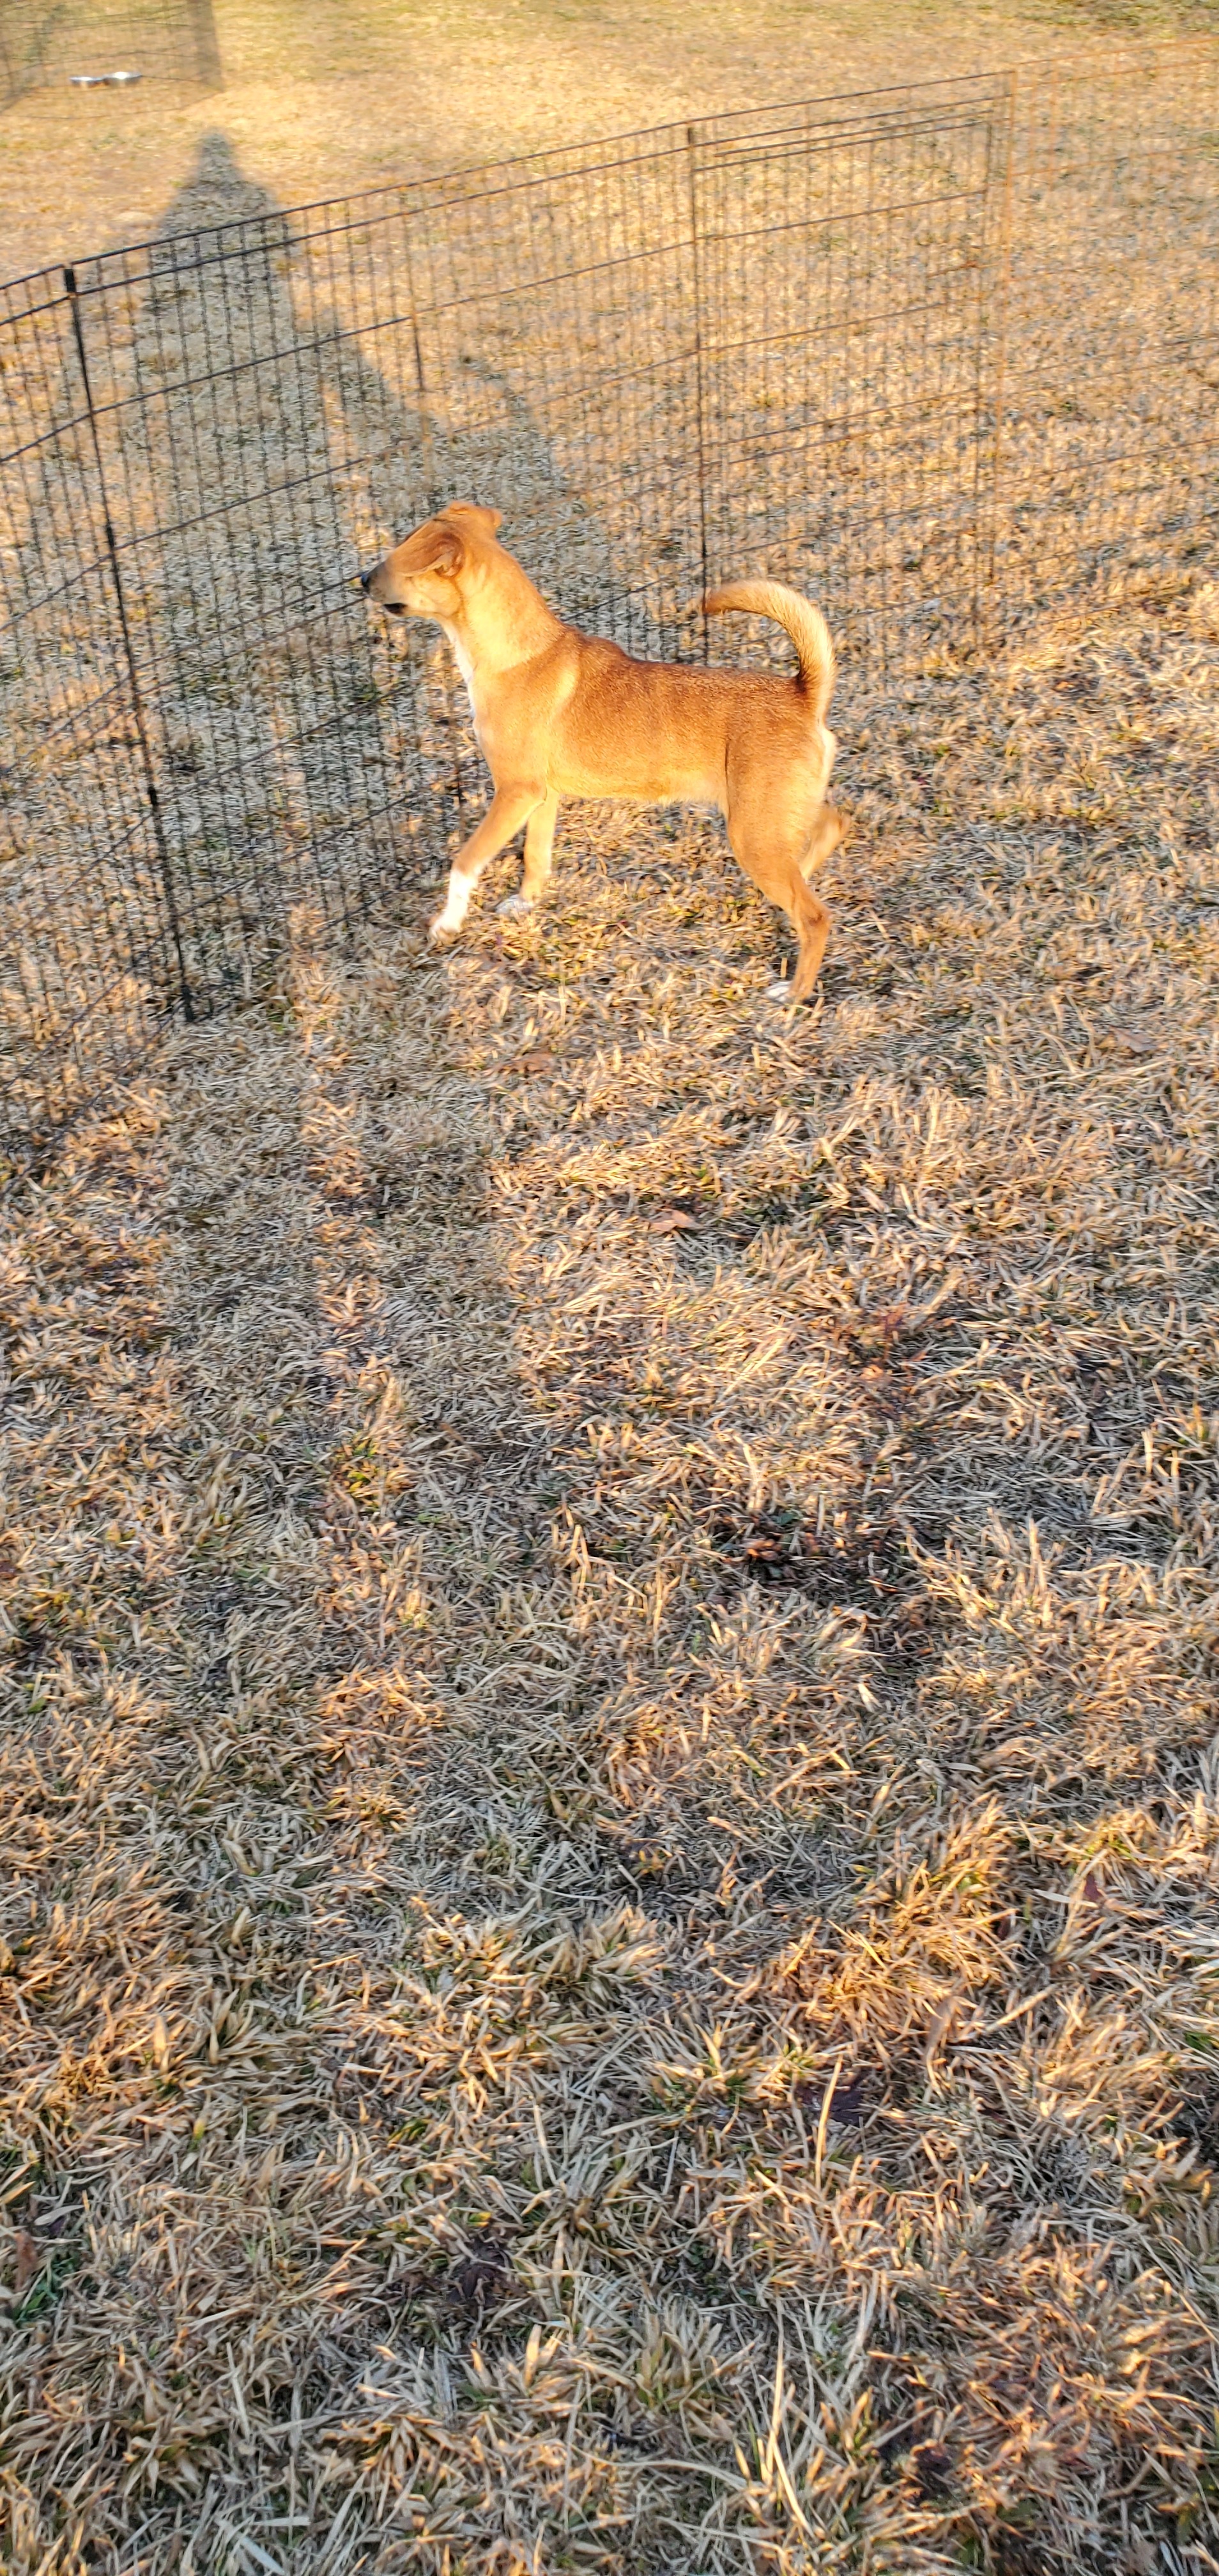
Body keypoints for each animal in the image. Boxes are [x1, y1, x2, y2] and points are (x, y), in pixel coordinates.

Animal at [355, 500, 840, 994]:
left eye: (399, 561)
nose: (362, 580)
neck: (517, 655)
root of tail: (803, 693)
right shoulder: (542, 797)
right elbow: (535, 856)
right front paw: (525, 904)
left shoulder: (515, 793)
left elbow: (465, 863)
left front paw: (447, 924)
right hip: (771, 816)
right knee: (830, 825)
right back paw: (801, 878)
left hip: (753, 833)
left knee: (816, 917)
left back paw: (793, 994)